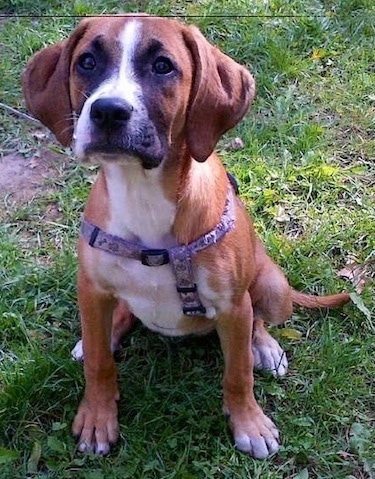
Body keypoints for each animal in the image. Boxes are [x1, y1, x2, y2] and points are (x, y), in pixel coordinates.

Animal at [22, 15, 352, 460]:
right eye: (87, 61)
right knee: (118, 319)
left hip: (272, 288)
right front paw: (97, 417)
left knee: (259, 319)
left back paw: (265, 347)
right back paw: (98, 338)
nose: (108, 111)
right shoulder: (90, 287)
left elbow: (238, 373)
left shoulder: (232, 305)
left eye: (163, 66)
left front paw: (249, 423)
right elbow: (99, 365)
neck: (143, 197)